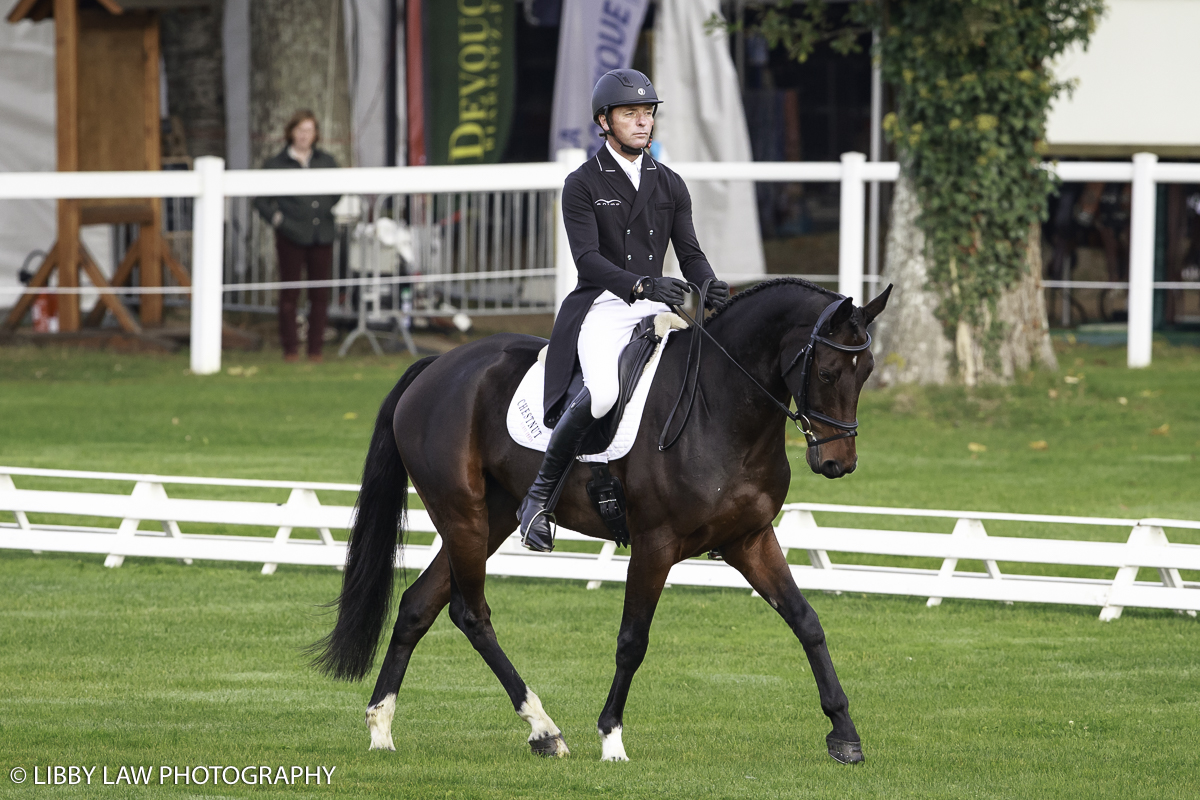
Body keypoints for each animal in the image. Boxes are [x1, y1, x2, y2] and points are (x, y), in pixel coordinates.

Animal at [309, 278, 892, 767]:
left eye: (865, 372)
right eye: (826, 372)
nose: (838, 463)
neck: (719, 405)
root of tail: (436, 366)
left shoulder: (749, 540)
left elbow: (806, 621)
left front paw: (845, 734)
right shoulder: (656, 544)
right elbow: (633, 639)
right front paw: (612, 738)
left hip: (490, 517)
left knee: (417, 606)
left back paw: (382, 726)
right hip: (462, 515)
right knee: (470, 613)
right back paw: (543, 729)